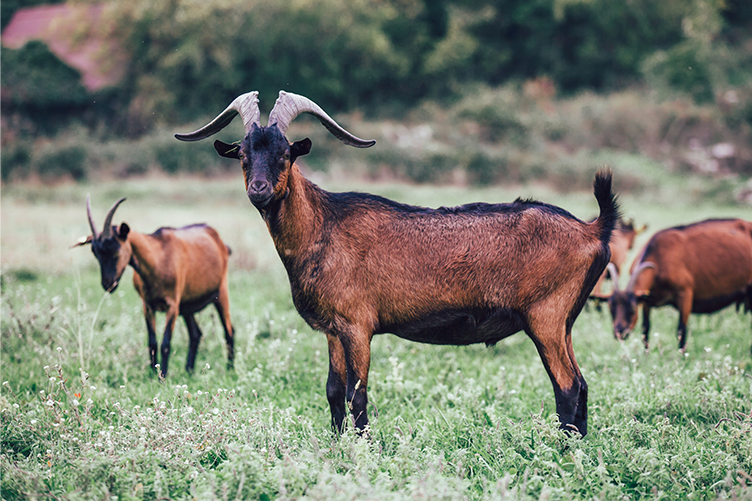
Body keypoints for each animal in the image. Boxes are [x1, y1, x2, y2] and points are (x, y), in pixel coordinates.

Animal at [73, 196, 235, 376]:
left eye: (116, 250)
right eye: (95, 253)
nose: (108, 284)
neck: (158, 258)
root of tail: (219, 241)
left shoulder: (172, 305)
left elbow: (165, 343)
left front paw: (162, 376)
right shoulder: (148, 305)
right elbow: (152, 342)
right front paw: (152, 374)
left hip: (221, 292)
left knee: (229, 330)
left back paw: (230, 369)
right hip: (187, 305)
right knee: (196, 334)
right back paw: (189, 370)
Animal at [175, 90, 619, 436]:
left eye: (285, 154)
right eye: (243, 154)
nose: (259, 190)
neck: (323, 224)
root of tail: (593, 229)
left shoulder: (358, 325)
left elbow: (357, 395)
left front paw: (363, 450)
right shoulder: (333, 329)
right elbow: (333, 391)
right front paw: (336, 445)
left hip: (546, 316)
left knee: (567, 387)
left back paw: (562, 453)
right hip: (564, 323)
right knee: (582, 384)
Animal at [589, 218, 752, 352]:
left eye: (632, 309)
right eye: (611, 309)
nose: (619, 333)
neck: (660, 257)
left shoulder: (685, 294)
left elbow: (681, 331)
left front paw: (682, 359)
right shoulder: (647, 300)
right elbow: (645, 330)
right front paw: (646, 356)